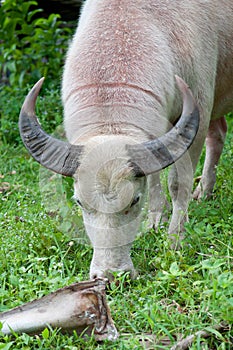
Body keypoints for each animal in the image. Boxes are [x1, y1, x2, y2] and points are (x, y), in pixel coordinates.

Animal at [19, 0, 231, 278]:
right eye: (79, 202)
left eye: (134, 200)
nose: (110, 275)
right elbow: (154, 176)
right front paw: (155, 220)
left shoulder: (199, 110)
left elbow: (177, 183)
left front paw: (175, 240)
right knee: (218, 134)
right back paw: (204, 191)